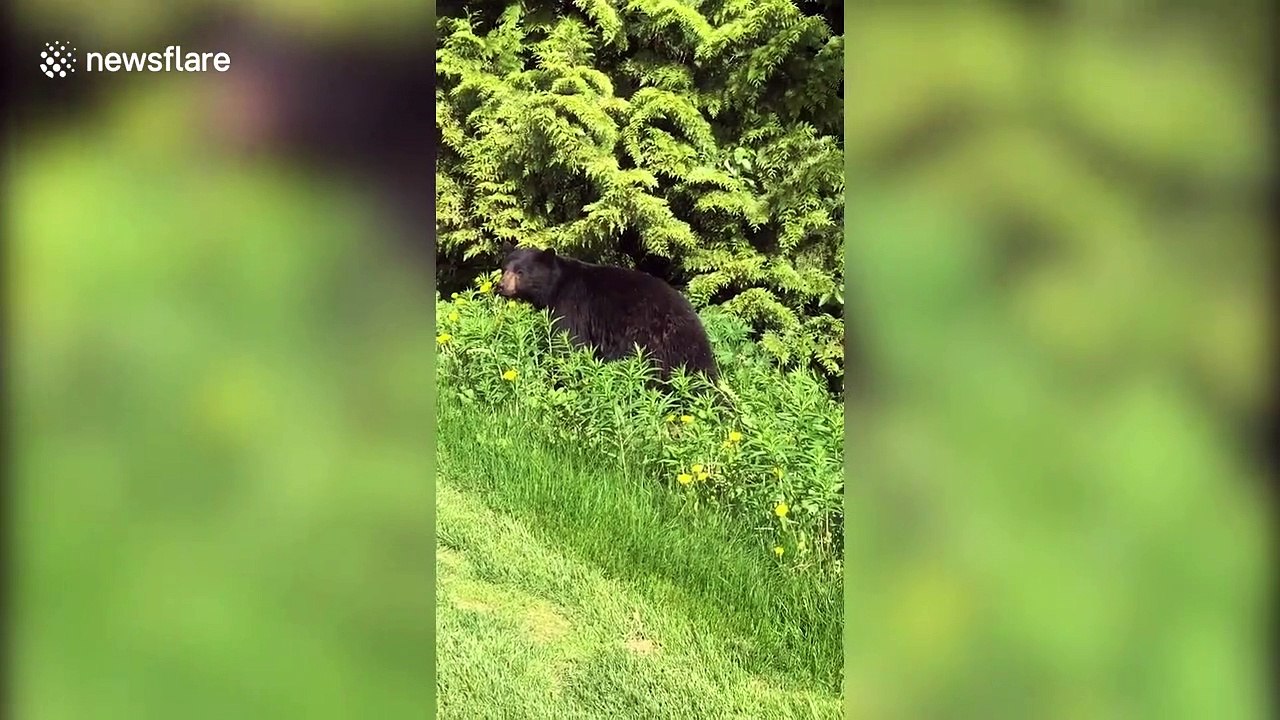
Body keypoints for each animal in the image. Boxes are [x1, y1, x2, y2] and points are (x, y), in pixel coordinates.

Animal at [495, 246, 719, 383]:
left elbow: (569, 342)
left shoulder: (571, 305)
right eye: (504, 268)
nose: (501, 286)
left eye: (520, 272)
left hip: (649, 343)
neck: (555, 285)